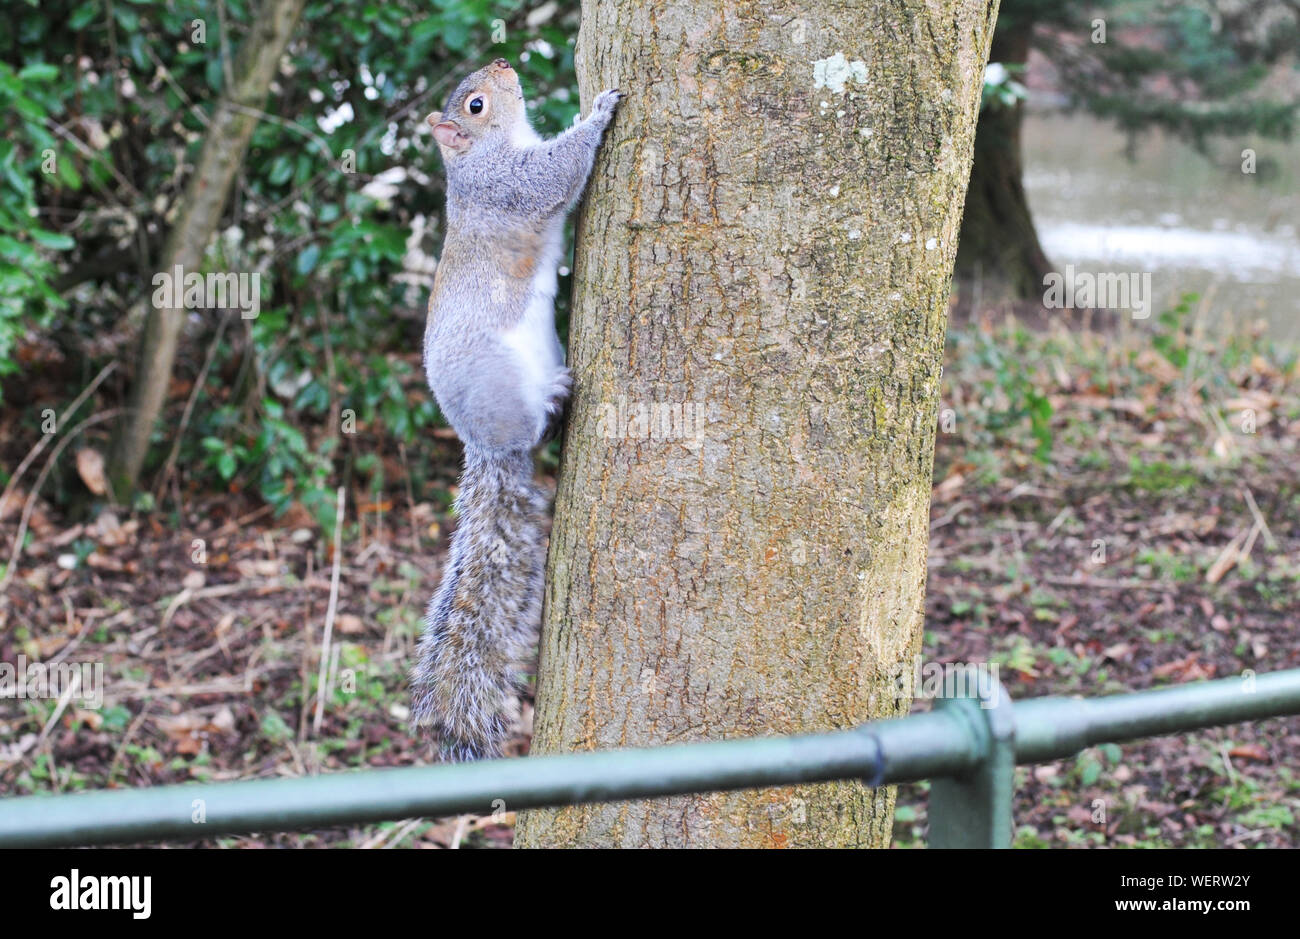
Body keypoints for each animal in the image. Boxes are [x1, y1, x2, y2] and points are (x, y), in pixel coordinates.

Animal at [413, 58, 621, 759]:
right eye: (475, 105)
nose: (504, 62)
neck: (481, 155)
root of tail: (485, 444)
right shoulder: (509, 186)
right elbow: (554, 173)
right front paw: (599, 112)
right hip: (504, 382)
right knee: (531, 428)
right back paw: (552, 404)